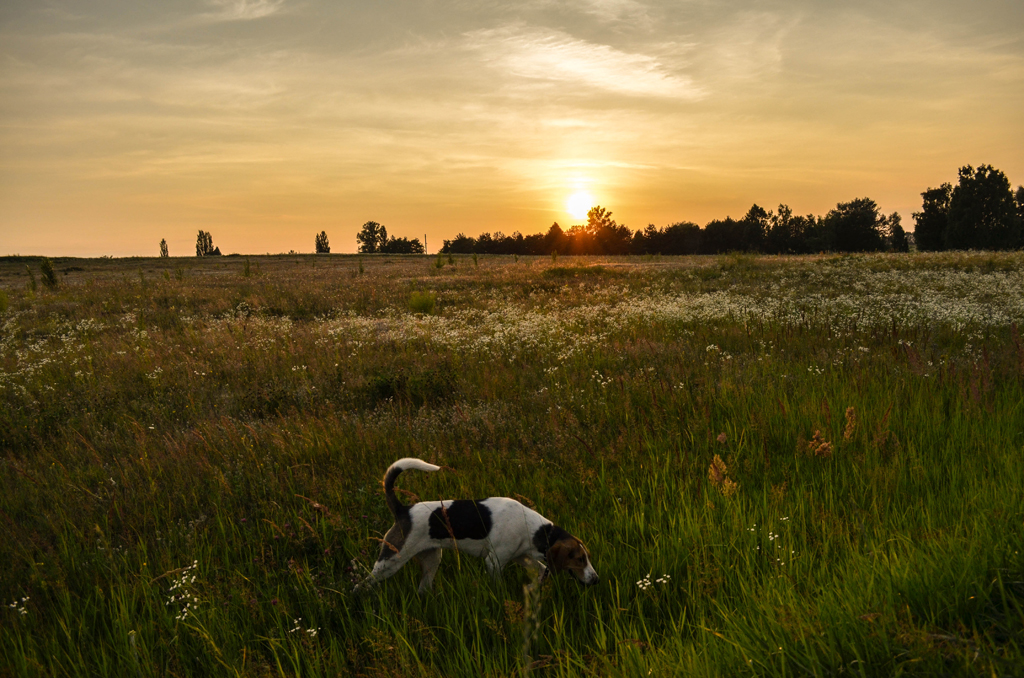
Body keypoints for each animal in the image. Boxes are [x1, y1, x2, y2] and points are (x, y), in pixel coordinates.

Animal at [356, 456, 598, 594]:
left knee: (422, 588)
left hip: (432, 559)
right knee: (361, 585)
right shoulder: (495, 561)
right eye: (579, 559)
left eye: (586, 557)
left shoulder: (522, 556)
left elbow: (541, 573)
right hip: (391, 561)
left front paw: (530, 589)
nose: (596, 580)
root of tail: (402, 510)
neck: (537, 530)